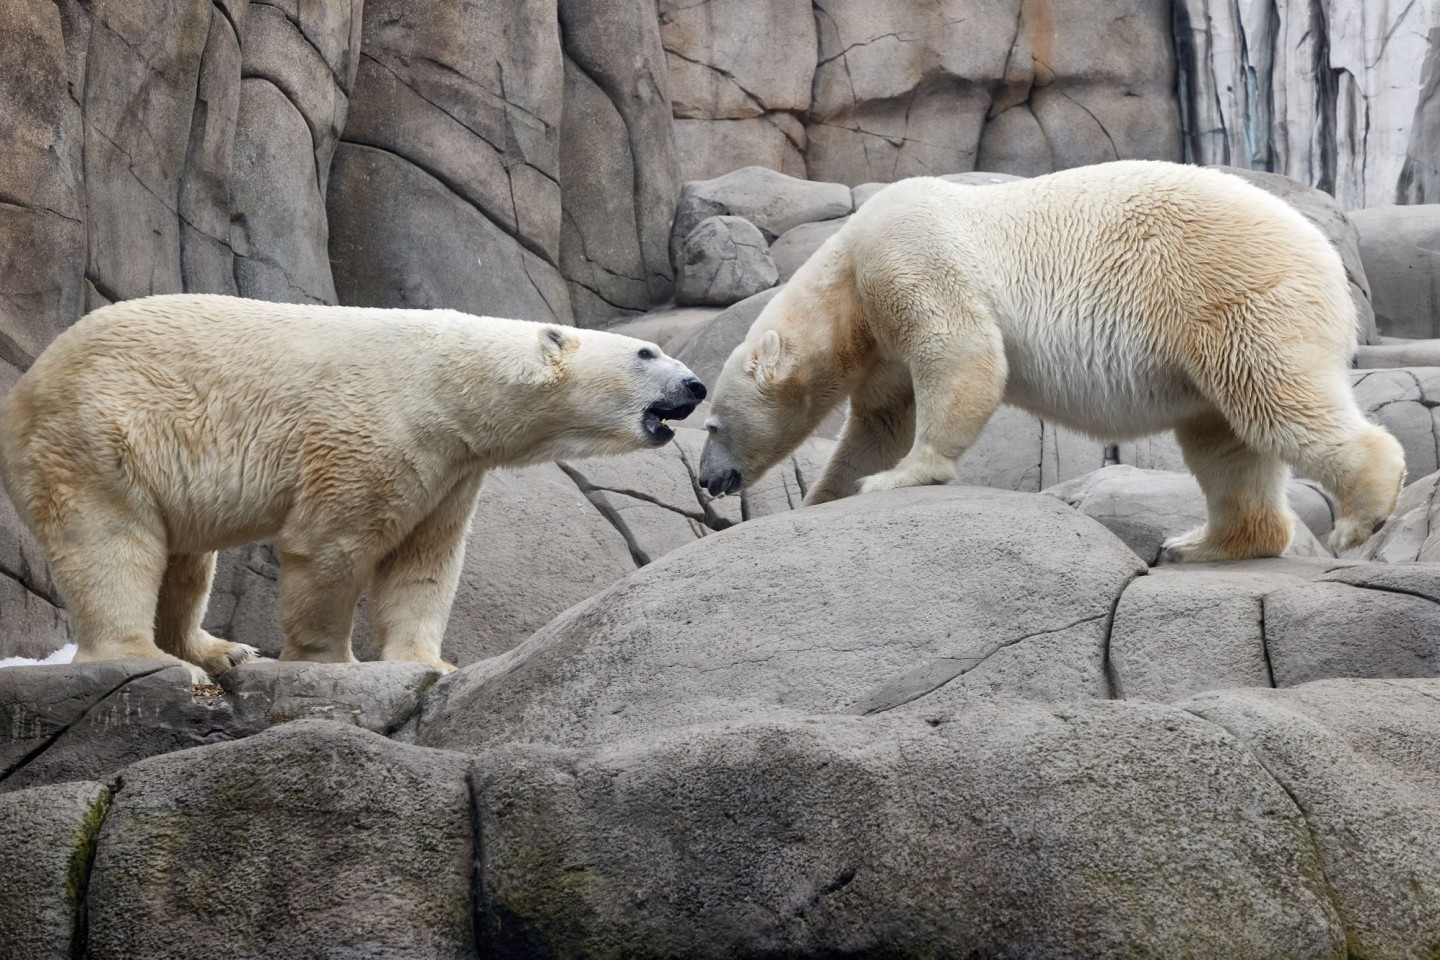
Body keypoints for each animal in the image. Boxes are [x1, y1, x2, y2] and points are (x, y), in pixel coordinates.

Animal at [0, 296, 708, 679]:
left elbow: (425, 561)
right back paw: (144, 654)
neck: (448, 381)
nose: (697, 385)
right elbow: (333, 544)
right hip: (101, 433)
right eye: (647, 353)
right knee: (110, 544)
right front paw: (333, 661)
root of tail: (26, 388)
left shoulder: (453, 467)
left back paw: (219, 650)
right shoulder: (376, 429)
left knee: (186, 561)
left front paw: (429, 663)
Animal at [696, 160, 1405, 558]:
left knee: (1274, 400)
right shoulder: (880, 346)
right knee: (1222, 442)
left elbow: (964, 355)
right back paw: (1200, 543)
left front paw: (902, 477)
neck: (845, 274)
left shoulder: (909, 257)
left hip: (1232, 296)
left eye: (712, 423)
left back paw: (1361, 515)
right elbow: (879, 423)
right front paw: (826, 499)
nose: (706, 479)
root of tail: (1328, 258)